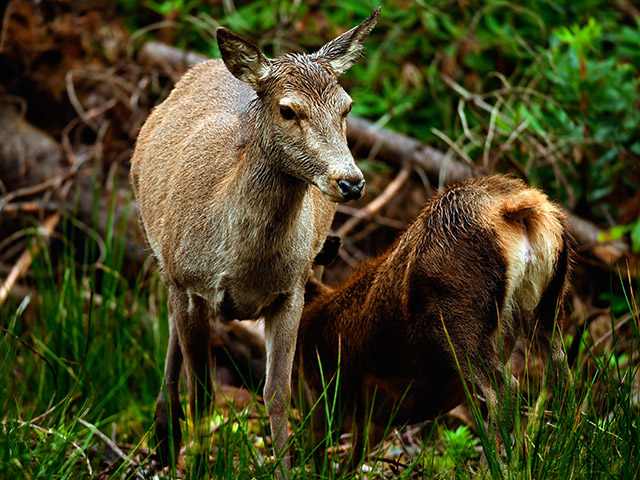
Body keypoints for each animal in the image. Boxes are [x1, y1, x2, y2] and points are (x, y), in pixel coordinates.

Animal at [129, 8, 380, 476]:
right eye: (287, 109)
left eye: (347, 106)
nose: (351, 181)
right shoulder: (190, 285)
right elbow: (202, 391)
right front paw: (200, 466)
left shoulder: (291, 292)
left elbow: (276, 395)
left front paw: (283, 468)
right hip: (166, 262)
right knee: (171, 344)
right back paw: (164, 438)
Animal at [296, 173, 576, 468]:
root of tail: (512, 208)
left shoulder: (329, 388)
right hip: (547, 304)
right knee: (561, 373)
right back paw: (563, 453)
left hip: (456, 319)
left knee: (504, 388)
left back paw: (494, 466)